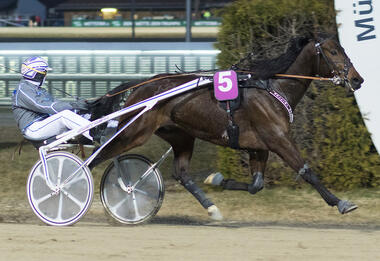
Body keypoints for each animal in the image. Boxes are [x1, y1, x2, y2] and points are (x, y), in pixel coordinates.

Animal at [88, 35, 362, 219]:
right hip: (134, 132)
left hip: (181, 135)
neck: (272, 89)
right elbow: (306, 171)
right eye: (333, 51)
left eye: (342, 49)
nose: (357, 79)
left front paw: (217, 179)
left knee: (182, 173)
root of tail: (141, 86)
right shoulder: (278, 138)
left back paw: (212, 208)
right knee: (98, 156)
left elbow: (256, 185)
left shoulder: (260, 145)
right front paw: (341, 203)